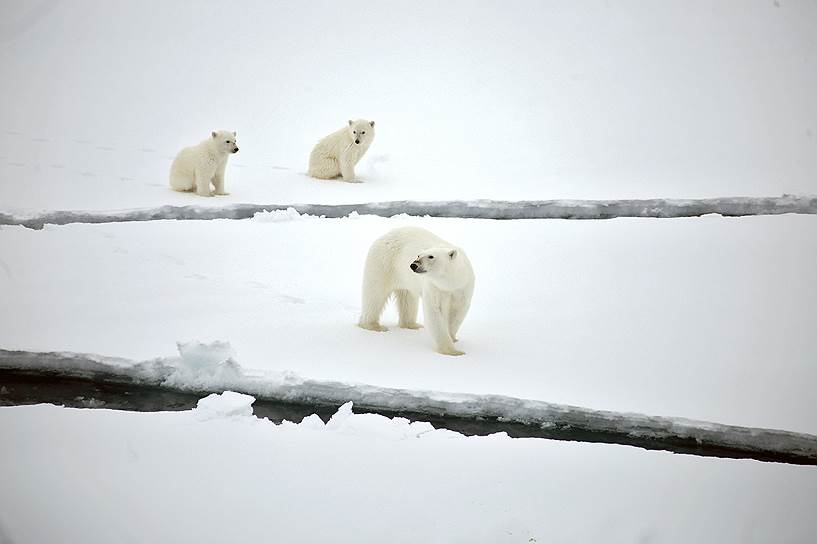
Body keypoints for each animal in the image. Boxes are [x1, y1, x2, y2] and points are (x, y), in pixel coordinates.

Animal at [356, 226, 472, 356]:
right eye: (418, 255)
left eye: (431, 256)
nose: (413, 265)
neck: (450, 283)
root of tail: (384, 236)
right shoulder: (434, 288)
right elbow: (435, 312)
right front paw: (452, 351)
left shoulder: (462, 288)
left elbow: (457, 312)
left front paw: (453, 338)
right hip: (383, 263)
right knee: (375, 295)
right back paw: (373, 326)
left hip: (404, 277)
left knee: (408, 299)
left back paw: (412, 325)